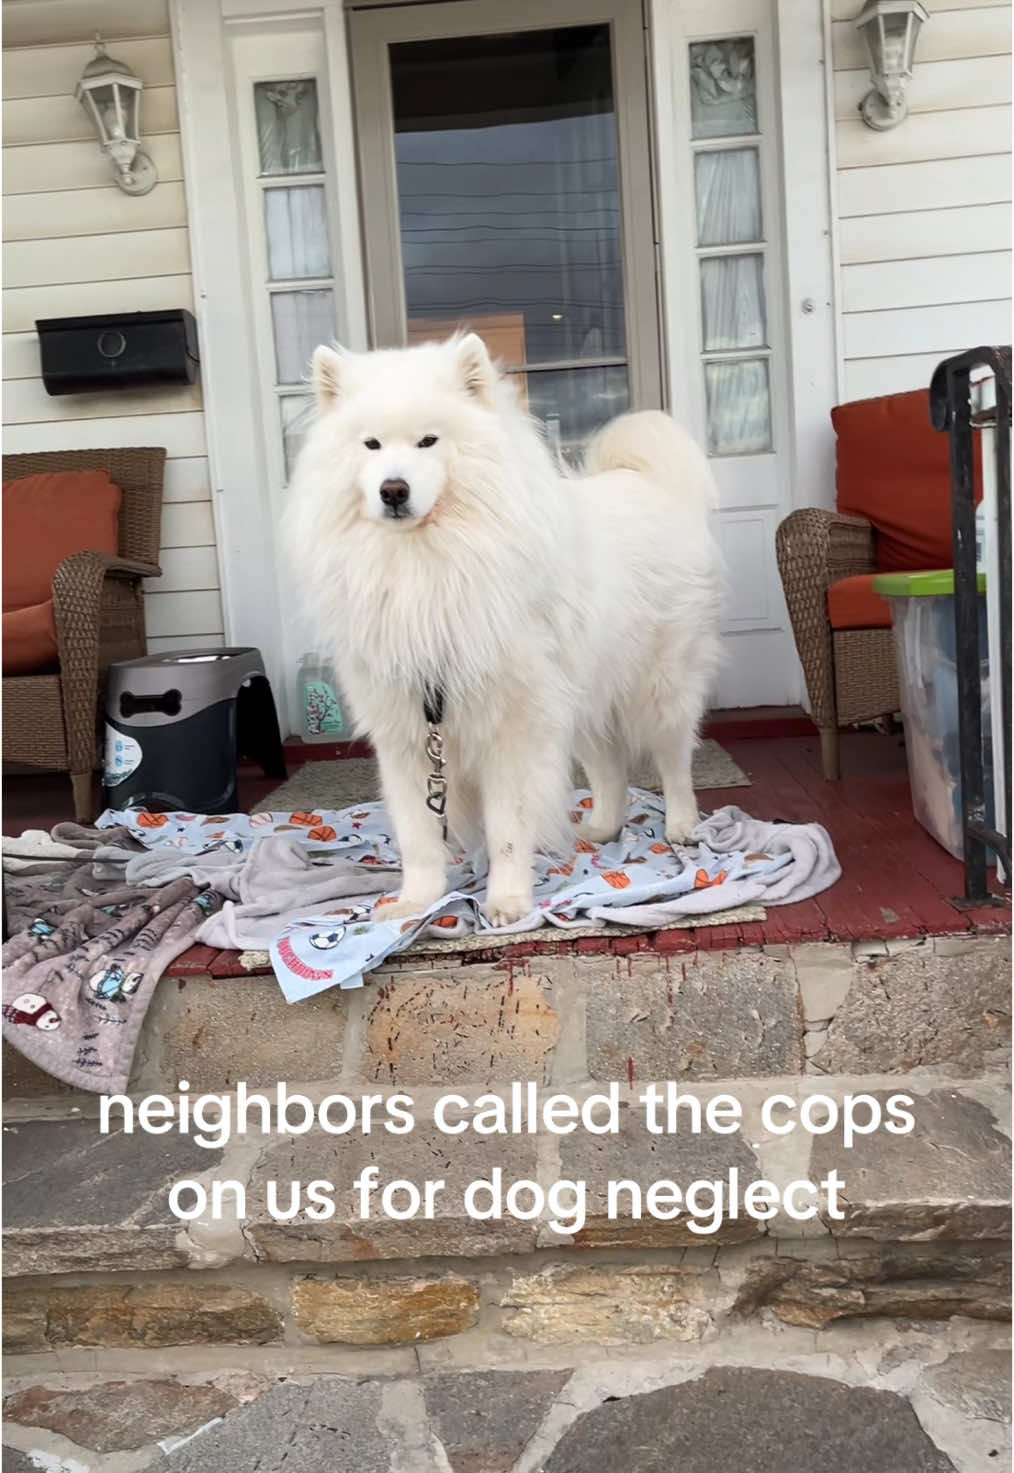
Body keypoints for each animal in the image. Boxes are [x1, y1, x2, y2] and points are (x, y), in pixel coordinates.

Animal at [282, 338, 722, 925]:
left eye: (428, 441)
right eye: (370, 444)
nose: (393, 489)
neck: (425, 564)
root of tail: (647, 483)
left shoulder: (512, 728)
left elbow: (509, 829)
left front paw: (508, 902)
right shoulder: (407, 733)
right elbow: (419, 835)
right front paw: (415, 902)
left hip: (659, 687)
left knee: (673, 760)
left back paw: (682, 825)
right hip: (580, 696)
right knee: (610, 769)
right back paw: (601, 828)